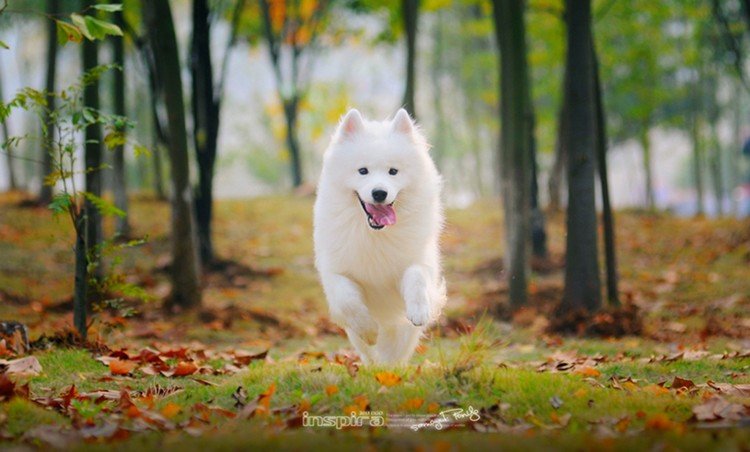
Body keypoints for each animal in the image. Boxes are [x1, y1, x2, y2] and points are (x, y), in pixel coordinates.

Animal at [312, 108, 446, 364]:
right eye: (362, 171)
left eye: (393, 171)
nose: (379, 193)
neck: (375, 234)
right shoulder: (336, 272)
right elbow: (348, 301)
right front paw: (369, 330)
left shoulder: (415, 261)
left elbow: (416, 276)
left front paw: (419, 310)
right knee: (370, 353)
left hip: (403, 334)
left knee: (396, 353)